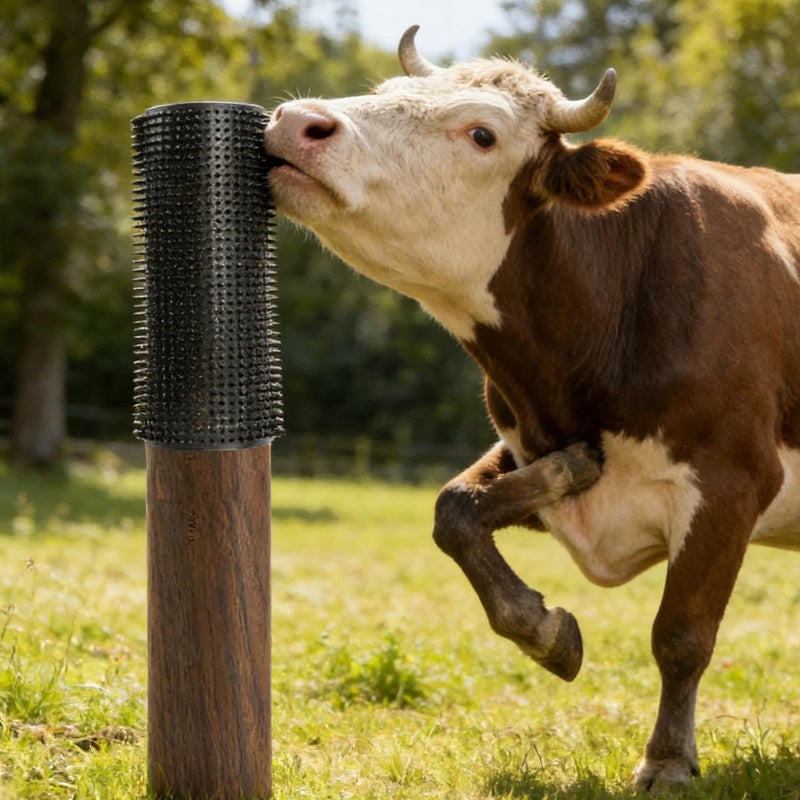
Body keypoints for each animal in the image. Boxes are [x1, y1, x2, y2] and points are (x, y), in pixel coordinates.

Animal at [264, 26, 800, 789]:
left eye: (482, 134)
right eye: (386, 93)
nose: (297, 121)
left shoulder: (731, 482)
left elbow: (681, 635)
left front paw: (668, 759)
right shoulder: (527, 436)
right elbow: (455, 511)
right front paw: (548, 631)